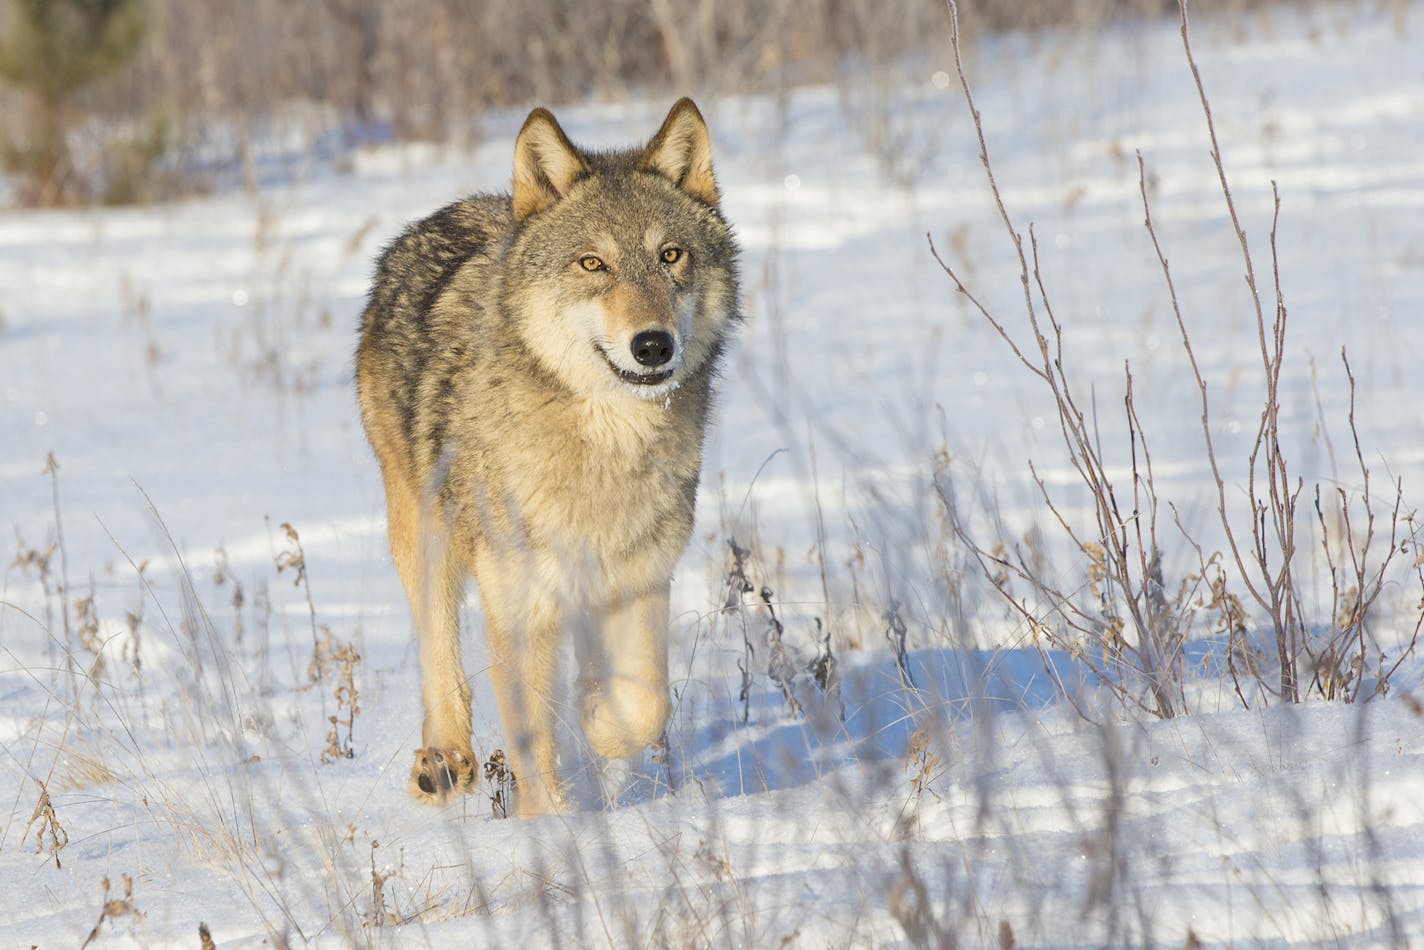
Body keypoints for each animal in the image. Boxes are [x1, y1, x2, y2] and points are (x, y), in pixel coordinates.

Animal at [356, 98, 740, 820]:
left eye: (670, 255)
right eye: (593, 264)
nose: (652, 345)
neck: (604, 452)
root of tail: (450, 210)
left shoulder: (642, 578)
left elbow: (642, 704)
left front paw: (598, 720)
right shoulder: (521, 602)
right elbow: (533, 738)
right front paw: (553, 828)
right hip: (426, 533)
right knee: (438, 652)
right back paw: (442, 760)